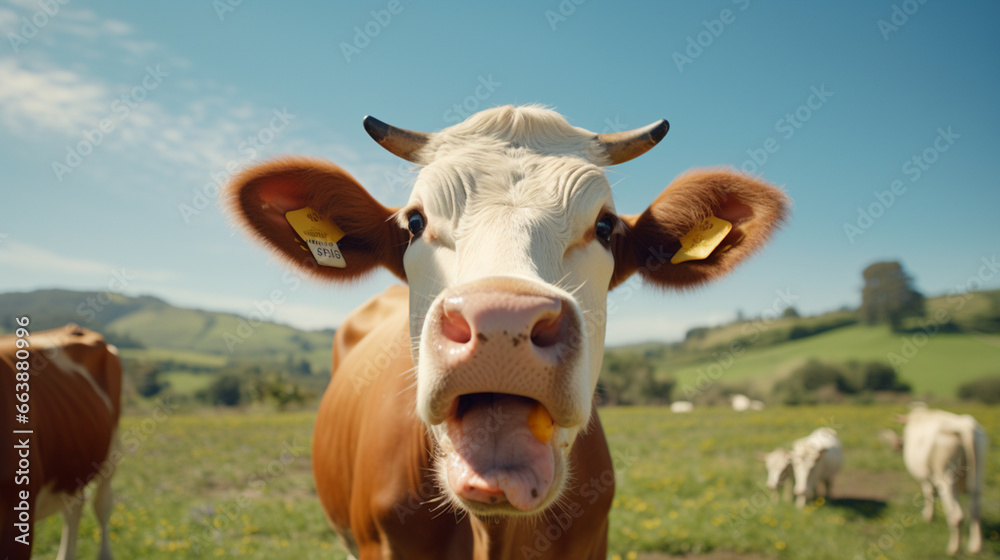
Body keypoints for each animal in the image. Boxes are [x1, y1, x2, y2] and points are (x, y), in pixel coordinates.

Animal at [900, 406, 984, 556]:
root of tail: (964, 425)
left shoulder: (923, 476)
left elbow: (929, 492)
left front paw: (928, 517)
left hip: (946, 474)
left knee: (956, 515)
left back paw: (953, 550)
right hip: (978, 471)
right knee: (975, 509)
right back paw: (975, 548)